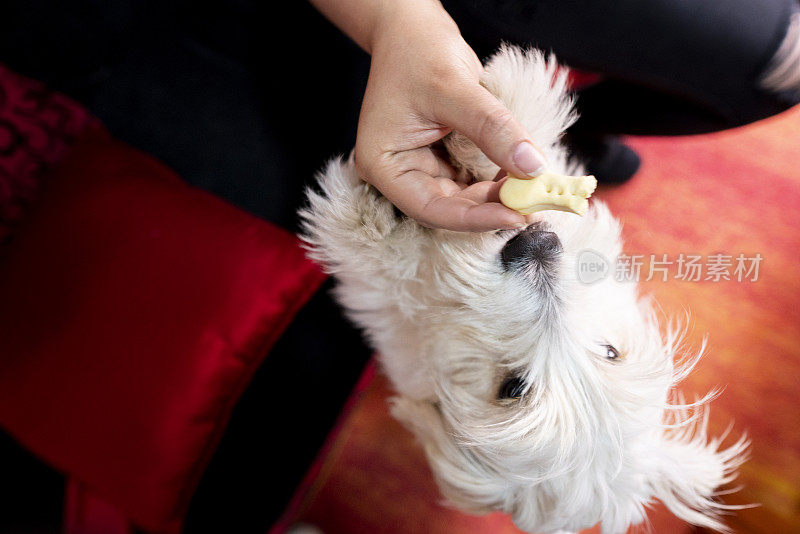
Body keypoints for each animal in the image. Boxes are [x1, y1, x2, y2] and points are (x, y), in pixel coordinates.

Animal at [302, 47, 752, 534]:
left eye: (512, 389)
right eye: (611, 352)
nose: (535, 250)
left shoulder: (393, 323)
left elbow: (390, 276)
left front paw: (368, 218)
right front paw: (508, 102)